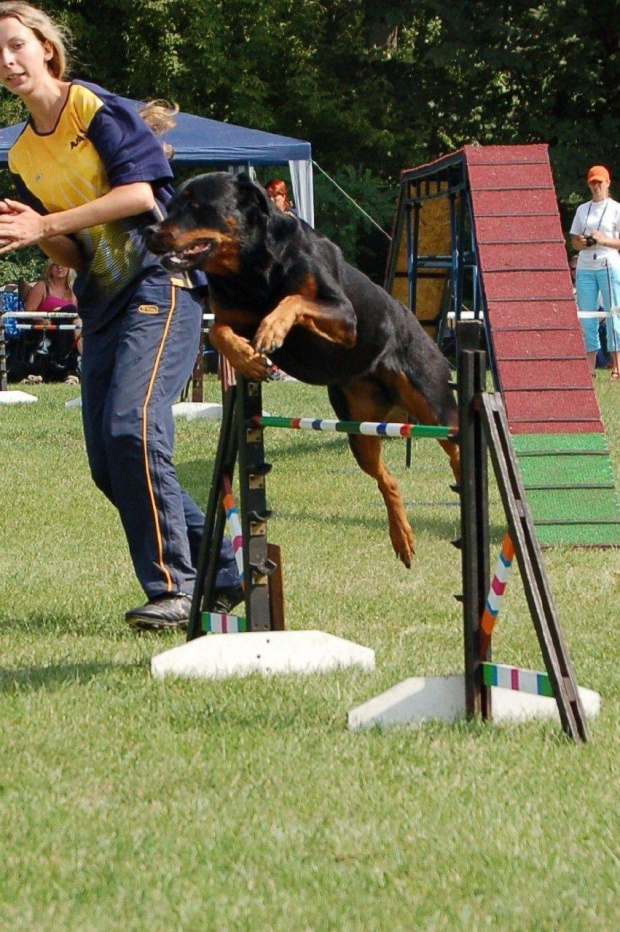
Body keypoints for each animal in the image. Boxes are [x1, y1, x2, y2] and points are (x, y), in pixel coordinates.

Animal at [147, 174, 460, 568]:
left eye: (196, 205)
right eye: (171, 204)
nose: (150, 230)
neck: (248, 269)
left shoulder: (343, 315)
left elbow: (292, 300)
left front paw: (271, 329)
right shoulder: (227, 316)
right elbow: (218, 332)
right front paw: (247, 357)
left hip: (433, 402)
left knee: (456, 448)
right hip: (359, 429)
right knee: (386, 479)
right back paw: (402, 538)